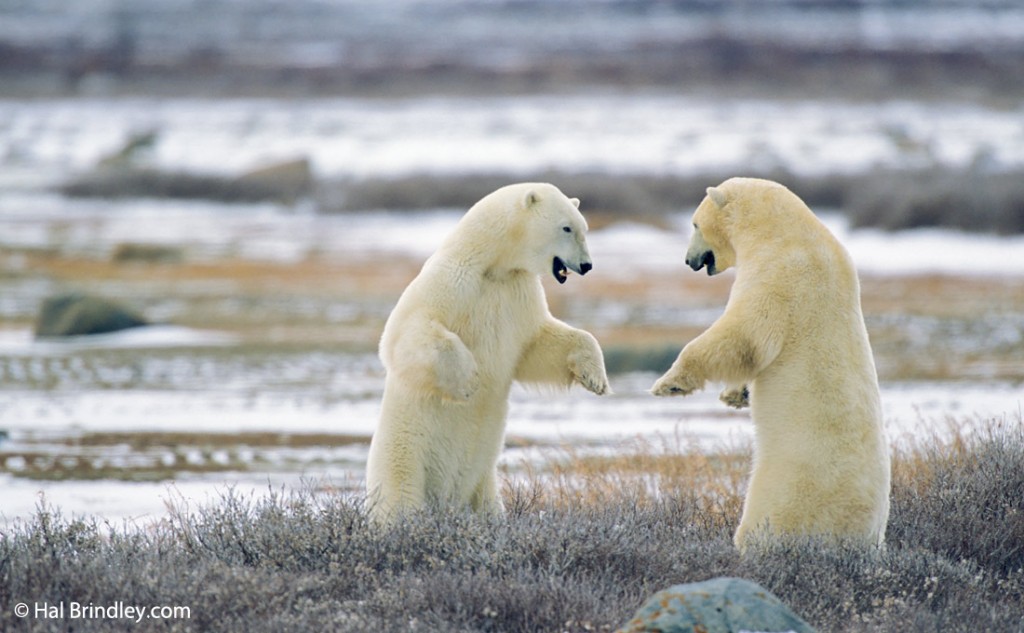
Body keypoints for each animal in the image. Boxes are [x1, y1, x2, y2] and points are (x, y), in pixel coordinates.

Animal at [368, 180, 606, 520]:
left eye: (583, 227)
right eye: (567, 227)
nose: (586, 266)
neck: (493, 265)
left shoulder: (519, 293)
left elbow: (538, 345)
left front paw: (595, 378)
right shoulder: (453, 282)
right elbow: (408, 330)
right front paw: (469, 381)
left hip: (483, 482)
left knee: (487, 503)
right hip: (403, 457)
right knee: (398, 501)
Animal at [655, 176, 888, 549]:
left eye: (694, 224)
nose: (689, 260)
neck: (781, 231)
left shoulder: (780, 273)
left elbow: (745, 333)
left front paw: (670, 383)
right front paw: (735, 395)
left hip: (791, 485)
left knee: (769, 519)